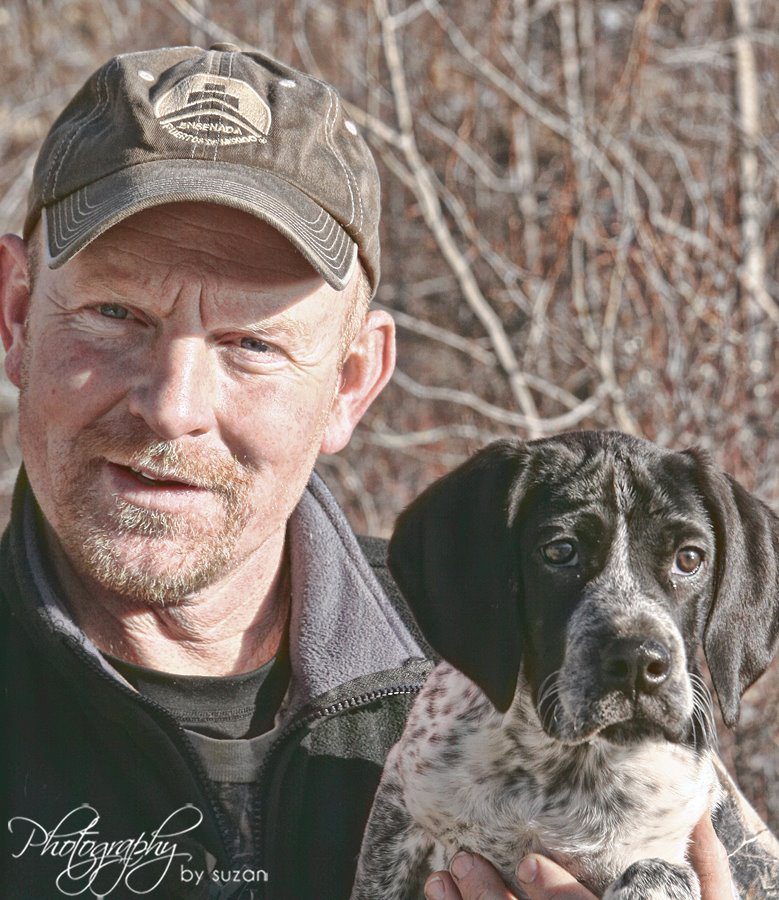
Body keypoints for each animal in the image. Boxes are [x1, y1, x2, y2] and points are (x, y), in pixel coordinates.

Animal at [352, 432, 779, 896]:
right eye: (559, 551)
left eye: (689, 559)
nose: (637, 662)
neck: (564, 768)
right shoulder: (401, 805)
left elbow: (658, 873)